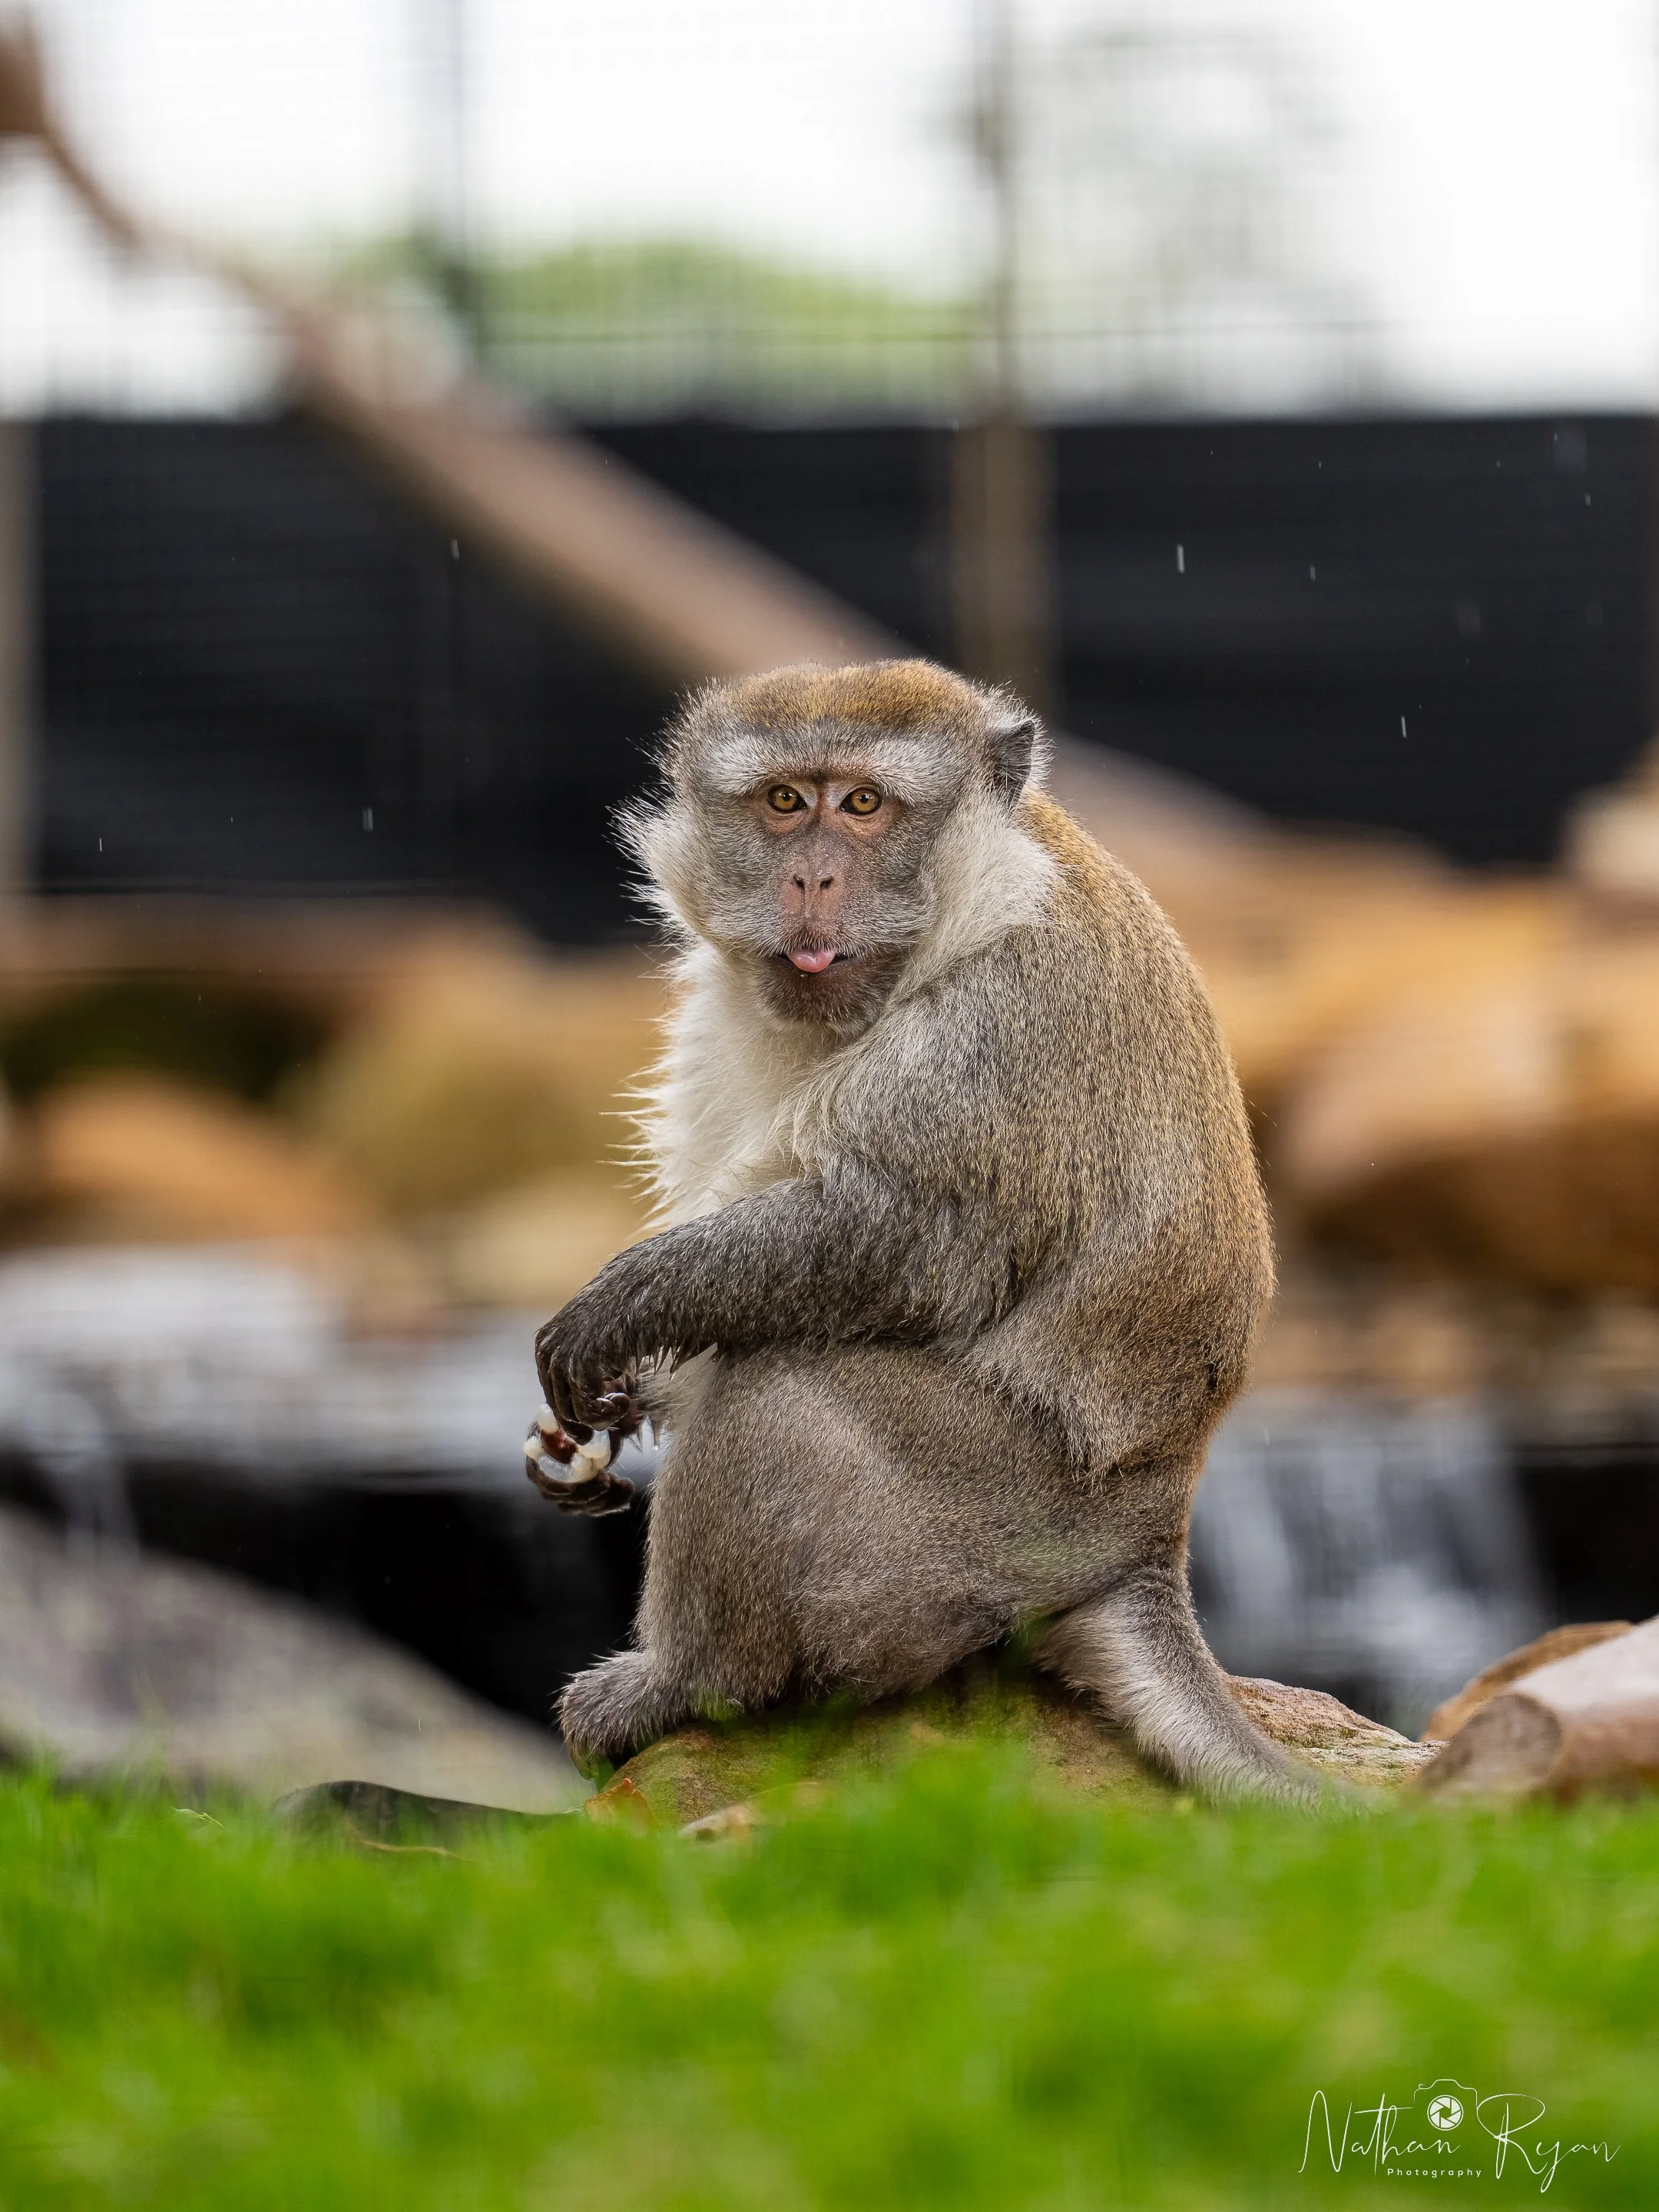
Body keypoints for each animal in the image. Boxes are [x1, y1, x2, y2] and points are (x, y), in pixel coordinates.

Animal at [531, 658, 1319, 1803]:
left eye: (864, 806)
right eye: (785, 801)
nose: (812, 880)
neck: (979, 896)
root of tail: (1147, 1544)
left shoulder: (997, 1030)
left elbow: (901, 1243)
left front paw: (623, 1306)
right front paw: (607, 1407)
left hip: (986, 1533)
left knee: (778, 1387)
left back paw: (693, 1683)